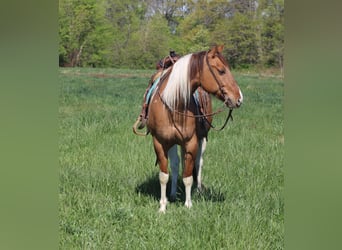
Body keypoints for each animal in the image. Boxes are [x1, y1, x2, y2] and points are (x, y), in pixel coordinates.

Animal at [146, 45, 242, 213]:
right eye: (221, 71)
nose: (239, 98)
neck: (174, 104)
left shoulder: (191, 142)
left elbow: (188, 176)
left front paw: (188, 204)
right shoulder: (160, 143)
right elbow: (164, 176)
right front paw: (163, 206)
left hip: (201, 139)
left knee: (198, 163)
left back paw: (197, 191)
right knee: (176, 165)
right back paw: (172, 194)